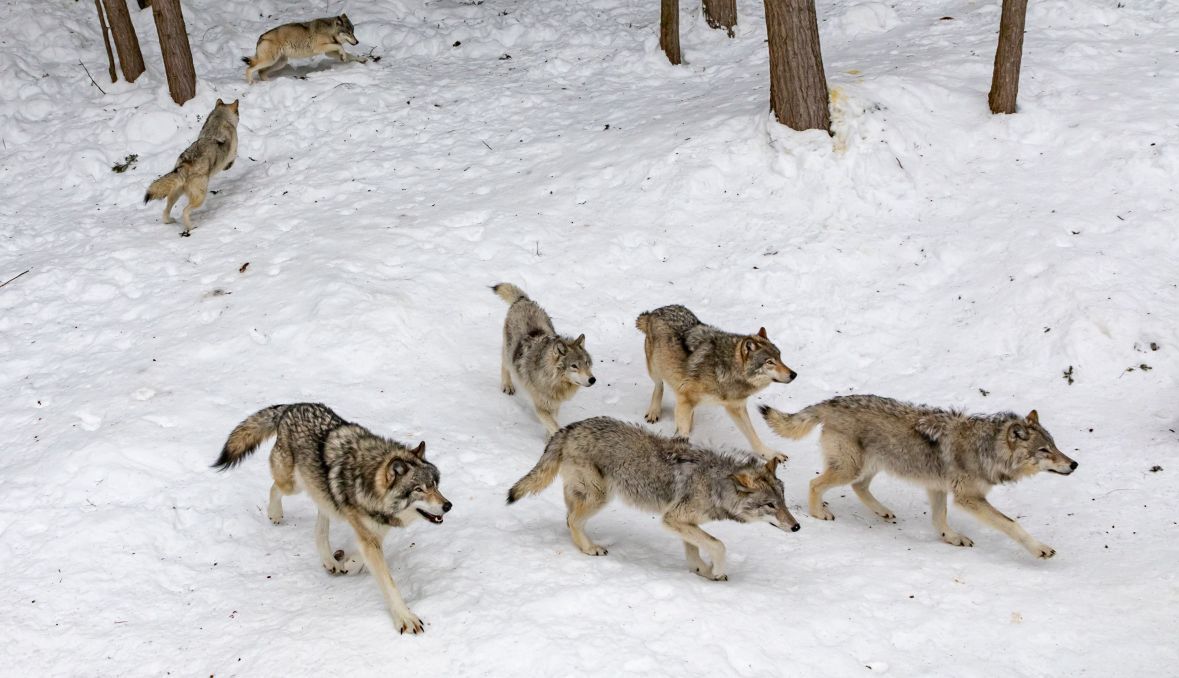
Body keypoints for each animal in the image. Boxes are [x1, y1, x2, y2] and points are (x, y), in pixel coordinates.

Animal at [143, 97, 238, 235]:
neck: (219, 119)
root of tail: (185, 164)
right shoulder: (233, 152)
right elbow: (232, 160)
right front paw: (228, 167)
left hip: (175, 194)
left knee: (166, 211)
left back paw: (170, 221)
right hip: (200, 197)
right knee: (185, 211)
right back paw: (191, 227)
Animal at [239, 14, 367, 83]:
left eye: (353, 32)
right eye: (348, 33)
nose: (357, 42)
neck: (329, 31)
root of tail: (260, 37)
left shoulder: (329, 52)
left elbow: (350, 54)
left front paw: (361, 59)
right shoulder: (319, 48)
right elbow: (340, 46)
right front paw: (343, 56)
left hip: (279, 63)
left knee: (261, 72)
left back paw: (268, 83)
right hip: (270, 60)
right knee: (249, 69)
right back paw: (251, 82)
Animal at [506, 417, 801, 580]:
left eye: (784, 502)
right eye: (770, 505)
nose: (797, 526)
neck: (715, 483)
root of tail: (569, 427)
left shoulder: (684, 523)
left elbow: (695, 549)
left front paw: (703, 572)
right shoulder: (672, 519)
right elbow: (719, 545)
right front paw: (716, 570)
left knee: (568, 517)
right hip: (600, 496)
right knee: (572, 520)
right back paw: (590, 549)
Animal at [641, 306, 797, 462]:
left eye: (780, 357)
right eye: (770, 362)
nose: (794, 374)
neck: (725, 369)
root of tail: (655, 311)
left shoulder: (736, 407)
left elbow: (753, 436)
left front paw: (770, 454)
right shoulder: (685, 398)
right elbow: (683, 430)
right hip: (655, 369)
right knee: (659, 385)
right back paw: (654, 412)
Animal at [763, 396, 1079, 558]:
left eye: (1055, 446)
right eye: (1044, 450)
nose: (1074, 464)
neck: (986, 449)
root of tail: (831, 401)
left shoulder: (937, 487)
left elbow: (940, 521)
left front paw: (951, 538)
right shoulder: (968, 498)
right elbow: (1012, 524)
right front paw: (1040, 549)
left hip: (871, 466)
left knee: (858, 487)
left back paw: (883, 511)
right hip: (851, 467)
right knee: (815, 483)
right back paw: (819, 513)